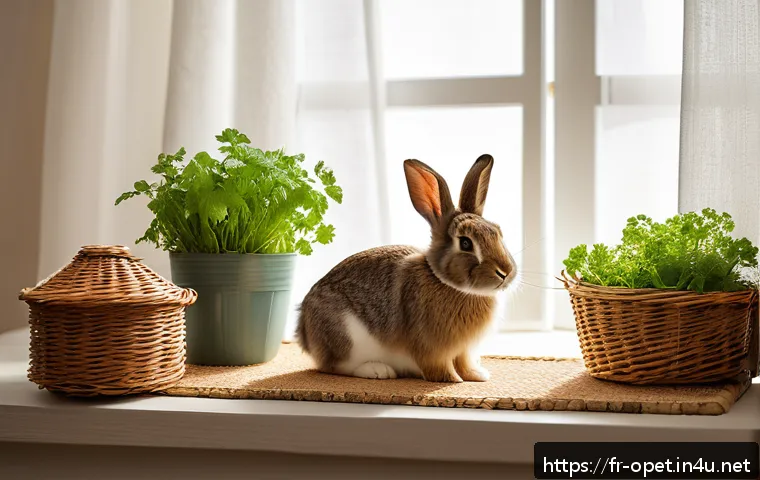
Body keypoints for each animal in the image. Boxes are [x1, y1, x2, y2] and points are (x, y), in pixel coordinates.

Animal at [295, 154, 517, 383]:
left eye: (498, 232)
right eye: (465, 243)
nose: (506, 272)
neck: (447, 283)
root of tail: (304, 331)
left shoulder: (463, 350)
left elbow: (464, 363)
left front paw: (478, 375)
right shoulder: (432, 348)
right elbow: (439, 367)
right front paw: (453, 380)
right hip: (345, 336)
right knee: (335, 366)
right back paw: (378, 371)